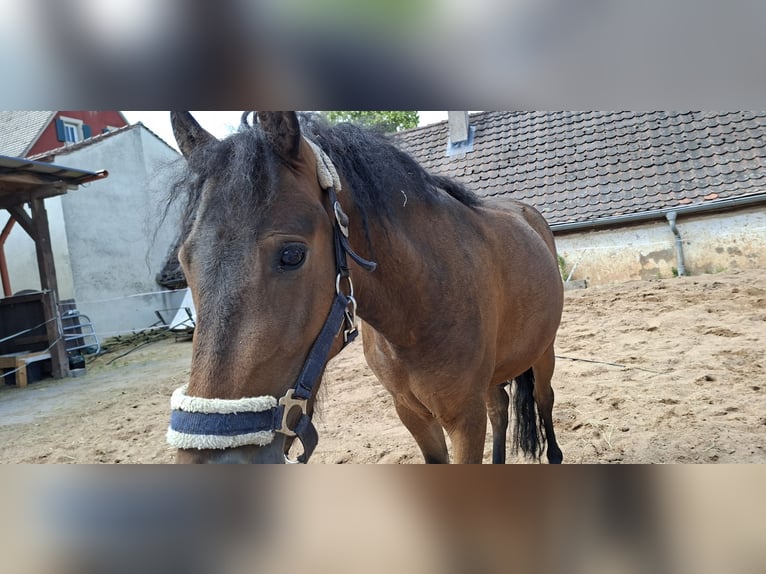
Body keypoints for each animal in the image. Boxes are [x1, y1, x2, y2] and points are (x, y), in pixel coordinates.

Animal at [166, 111, 564, 464]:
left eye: (292, 254)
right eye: (185, 261)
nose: (211, 461)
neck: (421, 309)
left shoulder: (465, 419)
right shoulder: (412, 414)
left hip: (544, 353)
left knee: (544, 399)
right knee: (500, 409)